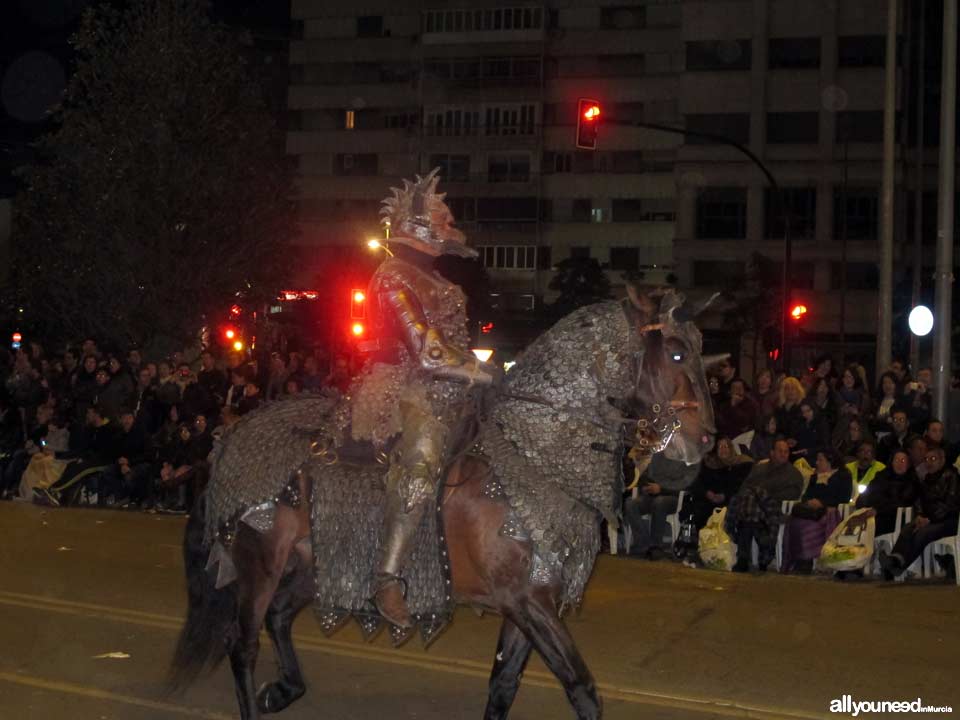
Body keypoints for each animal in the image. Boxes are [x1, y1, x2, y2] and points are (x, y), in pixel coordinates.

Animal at [169, 288, 716, 720]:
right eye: (675, 354)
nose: (704, 441)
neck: (532, 453)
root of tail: (229, 439)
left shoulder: (529, 602)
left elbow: (503, 686)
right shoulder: (527, 601)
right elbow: (581, 688)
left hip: (317, 562)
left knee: (280, 616)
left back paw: (284, 690)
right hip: (261, 562)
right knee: (243, 644)